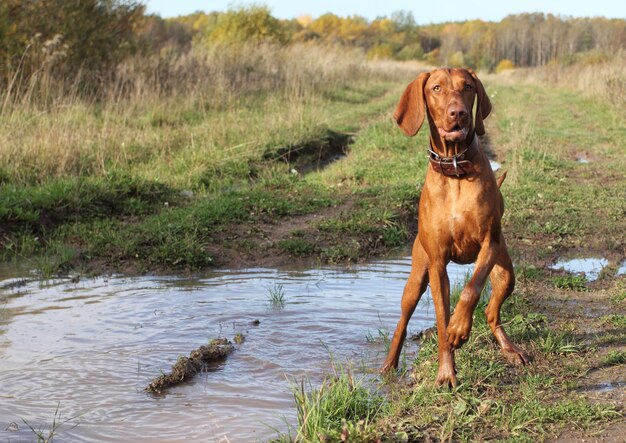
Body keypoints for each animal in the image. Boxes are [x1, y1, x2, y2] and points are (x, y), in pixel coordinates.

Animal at [380, 67, 528, 386]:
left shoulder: (489, 245)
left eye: (468, 87)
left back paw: (510, 349)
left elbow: (471, 290)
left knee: (491, 312)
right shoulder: (437, 262)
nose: (457, 112)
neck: (456, 170)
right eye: (436, 88)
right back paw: (388, 364)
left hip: (506, 275)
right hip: (416, 276)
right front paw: (446, 372)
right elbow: (440, 316)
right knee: (402, 320)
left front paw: (459, 327)